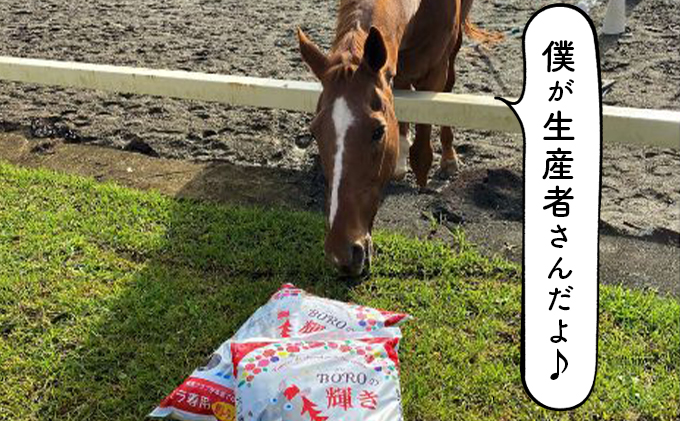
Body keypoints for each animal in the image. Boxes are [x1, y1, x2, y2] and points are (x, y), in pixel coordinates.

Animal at [297, 0, 498, 276]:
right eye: (315, 132)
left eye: (378, 131)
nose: (341, 254)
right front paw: (401, 160)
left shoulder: (435, 70)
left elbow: (426, 128)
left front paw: (425, 173)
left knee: (449, 84)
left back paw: (448, 158)